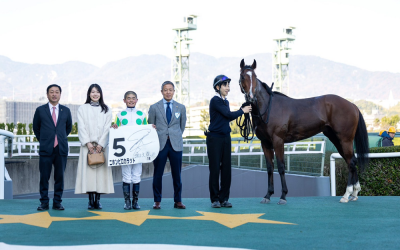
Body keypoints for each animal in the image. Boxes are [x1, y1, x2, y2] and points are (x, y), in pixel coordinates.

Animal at [238, 59, 368, 204]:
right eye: (243, 76)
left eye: (254, 77)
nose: (251, 97)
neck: (268, 108)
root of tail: (352, 105)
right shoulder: (265, 143)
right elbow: (270, 168)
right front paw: (267, 195)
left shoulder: (278, 141)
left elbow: (281, 167)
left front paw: (283, 196)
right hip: (337, 140)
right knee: (352, 161)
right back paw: (354, 193)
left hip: (345, 140)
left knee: (351, 163)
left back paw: (346, 194)